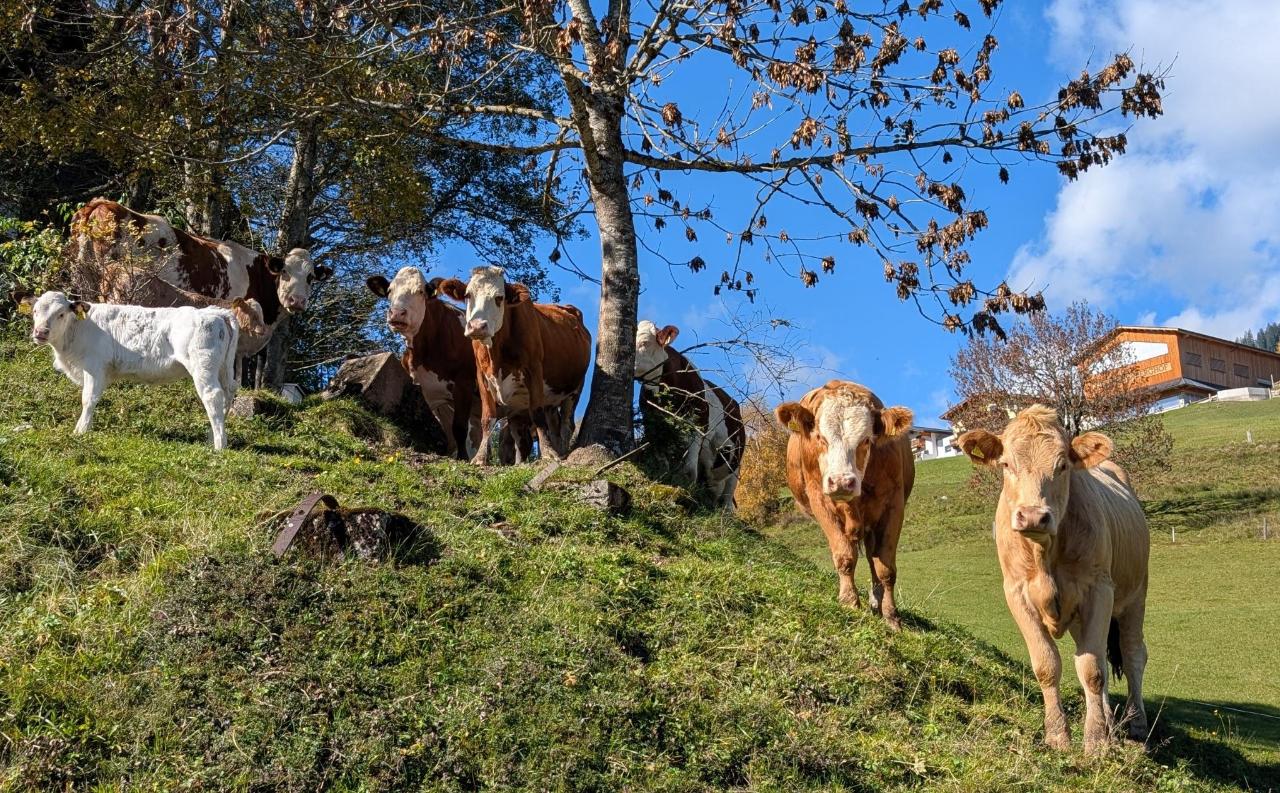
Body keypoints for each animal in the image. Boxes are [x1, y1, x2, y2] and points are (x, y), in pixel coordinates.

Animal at [14, 290, 239, 450]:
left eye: (61, 314)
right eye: (35, 312)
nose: (40, 332)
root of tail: (213, 311)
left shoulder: (95, 367)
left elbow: (88, 399)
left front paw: (81, 431)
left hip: (203, 367)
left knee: (213, 396)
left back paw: (219, 445)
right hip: (223, 369)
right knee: (228, 394)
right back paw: (212, 437)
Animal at [438, 266, 590, 464]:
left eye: (499, 298)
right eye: (468, 295)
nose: (477, 326)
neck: (496, 354)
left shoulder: (534, 370)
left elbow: (537, 414)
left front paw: (549, 454)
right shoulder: (482, 375)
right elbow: (488, 418)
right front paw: (480, 457)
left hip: (574, 390)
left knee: (566, 425)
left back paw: (562, 451)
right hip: (545, 399)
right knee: (547, 427)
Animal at [633, 321, 745, 508]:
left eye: (644, 343)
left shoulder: (698, 427)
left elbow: (689, 469)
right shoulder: (652, 423)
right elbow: (661, 460)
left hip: (735, 464)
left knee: (727, 499)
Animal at [775, 381, 915, 630]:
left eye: (866, 440)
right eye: (820, 437)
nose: (841, 481)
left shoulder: (894, 506)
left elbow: (886, 568)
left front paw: (891, 616)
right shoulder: (820, 501)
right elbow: (845, 557)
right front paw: (849, 602)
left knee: (873, 559)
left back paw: (876, 601)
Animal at [957, 406, 1149, 754]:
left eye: (1063, 466)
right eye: (1006, 464)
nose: (1033, 515)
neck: (1044, 554)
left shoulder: (1099, 590)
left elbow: (1093, 670)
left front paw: (1095, 741)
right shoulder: (1016, 593)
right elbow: (1049, 665)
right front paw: (1059, 735)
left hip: (1135, 594)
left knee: (1132, 654)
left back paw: (1136, 723)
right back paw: (1110, 722)